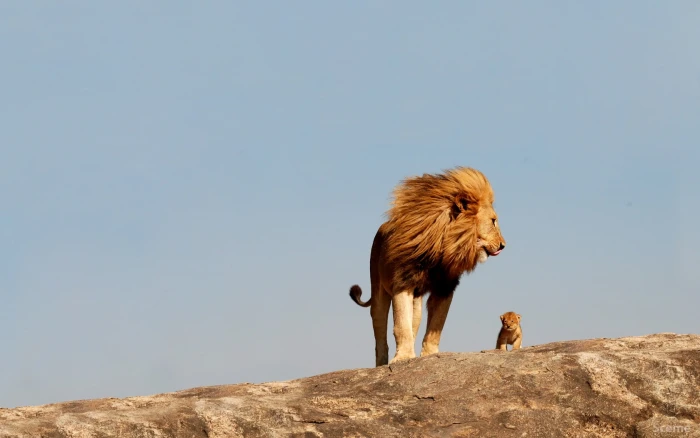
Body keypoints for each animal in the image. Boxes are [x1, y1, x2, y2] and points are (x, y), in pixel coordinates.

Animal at [348, 166, 506, 366]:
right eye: (493, 221)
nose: (503, 245)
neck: (442, 246)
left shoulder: (445, 288)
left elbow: (436, 326)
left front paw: (429, 355)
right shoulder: (403, 282)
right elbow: (401, 325)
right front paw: (403, 357)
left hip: (416, 303)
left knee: (413, 324)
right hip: (378, 291)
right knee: (380, 330)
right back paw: (382, 363)